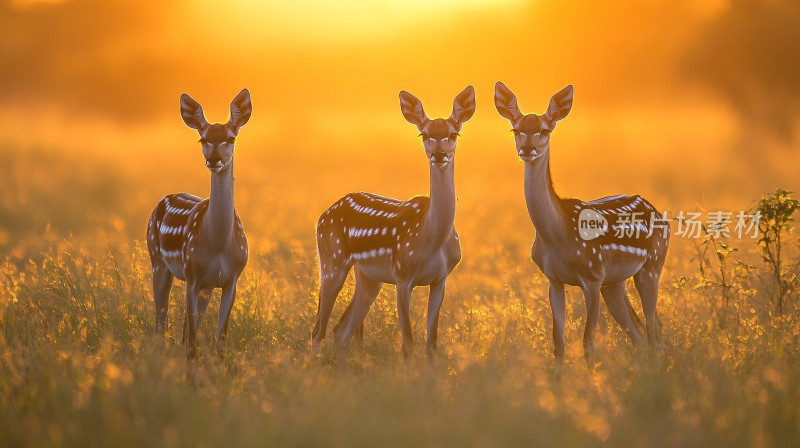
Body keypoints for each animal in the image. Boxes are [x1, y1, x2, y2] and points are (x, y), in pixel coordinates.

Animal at [145, 89, 252, 358]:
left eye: (231, 138)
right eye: (202, 140)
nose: (214, 159)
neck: (218, 244)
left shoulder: (231, 278)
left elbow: (220, 342)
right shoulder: (192, 274)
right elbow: (192, 343)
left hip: (205, 285)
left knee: (178, 330)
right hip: (157, 260)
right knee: (161, 326)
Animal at [310, 86, 476, 362]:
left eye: (453, 133)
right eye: (424, 134)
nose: (438, 154)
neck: (431, 237)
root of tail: (323, 215)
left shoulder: (441, 278)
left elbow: (431, 343)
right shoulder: (402, 276)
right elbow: (407, 343)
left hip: (368, 277)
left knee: (341, 330)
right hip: (332, 259)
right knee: (318, 330)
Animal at [494, 81, 668, 368]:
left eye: (545, 129)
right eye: (516, 129)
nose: (527, 149)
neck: (558, 235)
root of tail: (660, 213)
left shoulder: (593, 275)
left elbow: (588, 341)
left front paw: (592, 376)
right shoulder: (554, 278)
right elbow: (559, 343)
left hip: (653, 264)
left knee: (654, 329)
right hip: (615, 282)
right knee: (637, 330)